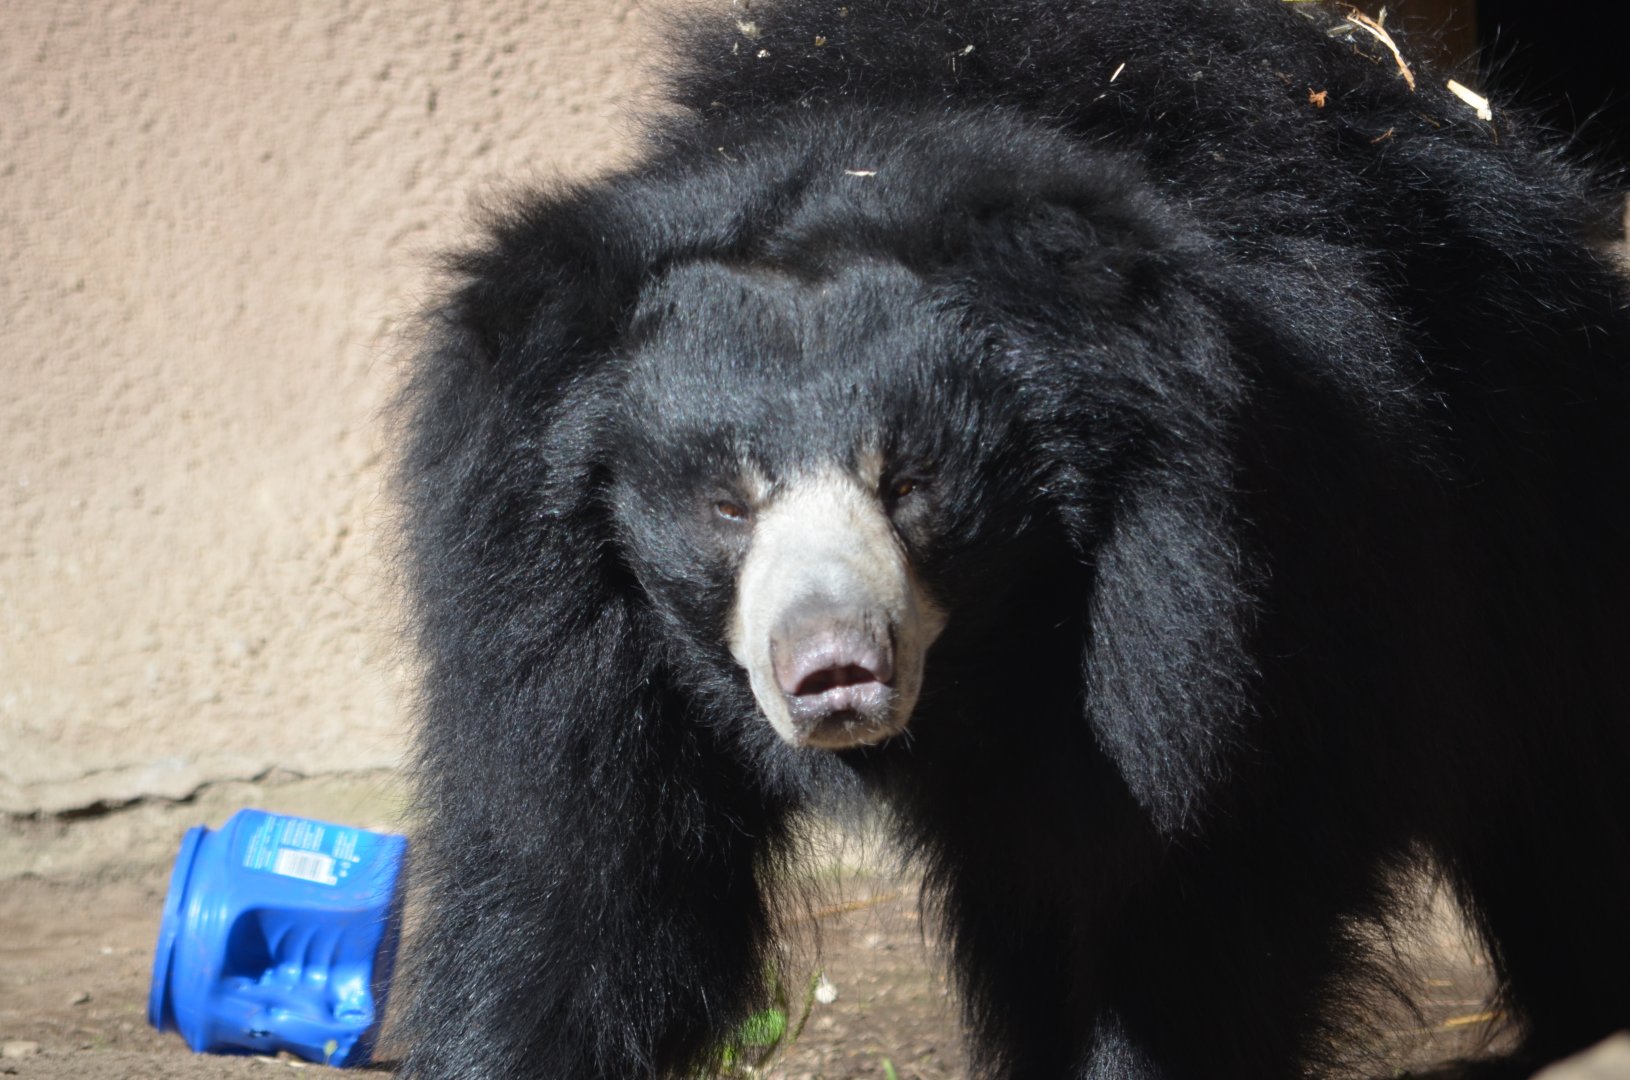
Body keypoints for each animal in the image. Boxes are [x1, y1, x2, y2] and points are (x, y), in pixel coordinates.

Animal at [391, 0, 1630, 1076]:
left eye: (910, 483)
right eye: (726, 504)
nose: (832, 669)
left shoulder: (1224, 603)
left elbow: (1194, 889)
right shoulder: (560, 631)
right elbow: (585, 895)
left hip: (1524, 492)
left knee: (1556, 793)